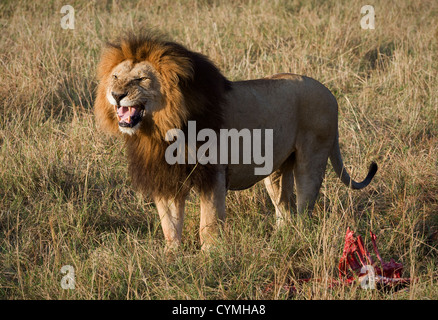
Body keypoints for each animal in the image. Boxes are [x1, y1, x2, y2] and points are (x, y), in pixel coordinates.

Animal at [94, 32, 378, 250]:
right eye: (116, 77)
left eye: (141, 79)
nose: (116, 94)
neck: (159, 130)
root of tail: (330, 93)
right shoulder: (166, 177)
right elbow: (170, 225)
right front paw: (171, 257)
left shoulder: (213, 174)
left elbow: (208, 224)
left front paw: (210, 257)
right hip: (276, 170)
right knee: (283, 208)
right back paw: (280, 241)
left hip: (312, 158)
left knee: (303, 207)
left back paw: (298, 238)